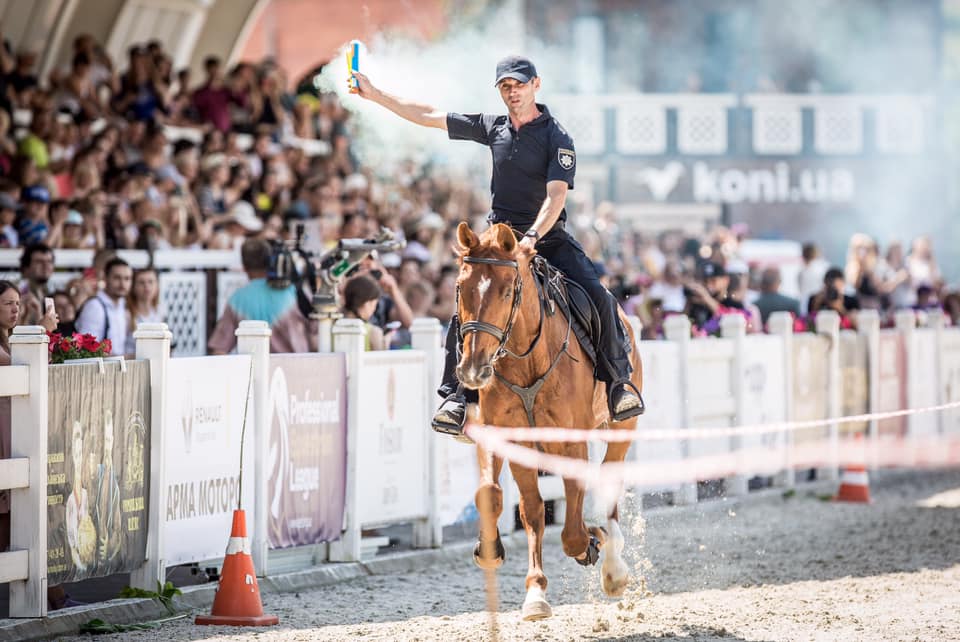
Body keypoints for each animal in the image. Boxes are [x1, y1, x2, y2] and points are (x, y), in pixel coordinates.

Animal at [454, 222, 640, 616]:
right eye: (461, 287)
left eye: (508, 290)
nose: (474, 369)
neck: (526, 360)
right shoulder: (507, 437)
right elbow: (515, 504)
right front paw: (531, 588)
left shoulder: (570, 440)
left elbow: (571, 528)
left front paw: (589, 542)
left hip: (621, 429)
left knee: (609, 481)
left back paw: (613, 566)